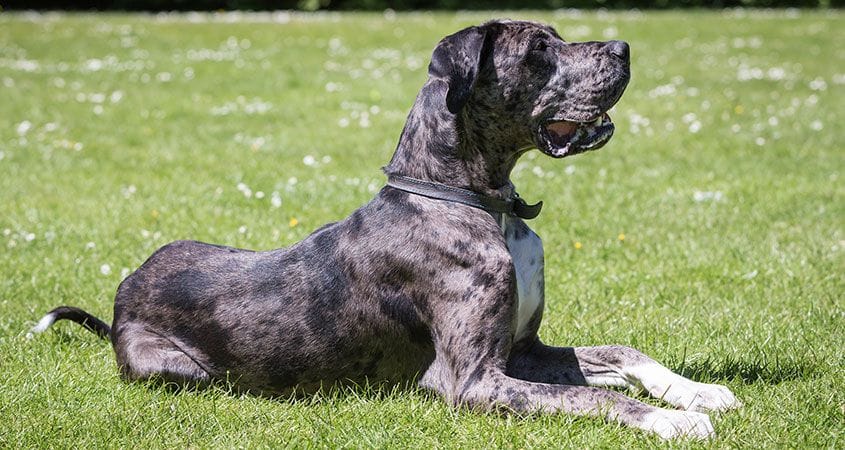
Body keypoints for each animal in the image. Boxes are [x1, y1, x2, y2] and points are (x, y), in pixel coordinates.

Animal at [29, 21, 736, 440]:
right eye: (539, 50)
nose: (623, 48)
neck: (478, 202)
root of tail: (122, 292)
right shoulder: (474, 380)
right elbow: (597, 401)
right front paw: (670, 422)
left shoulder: (523, 350)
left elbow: (622, 352)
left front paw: (698, 393)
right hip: (177, 371)